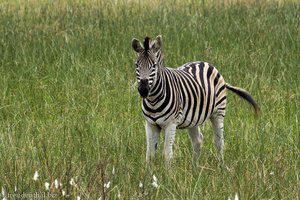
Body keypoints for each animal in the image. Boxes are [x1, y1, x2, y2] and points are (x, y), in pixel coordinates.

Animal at [131, 35, 260, 165]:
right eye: (137, 65)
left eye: (154, 65)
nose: (143, 90)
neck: (153, 101)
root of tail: (205, 63)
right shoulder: (150, 124)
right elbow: (150, 155)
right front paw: (149, 171)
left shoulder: (171, 123)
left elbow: (167, 154)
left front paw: (168, 171)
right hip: (193, 118)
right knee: (198, 140)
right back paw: (195, 168)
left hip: (218, 112)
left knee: (219, 142)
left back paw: (221, 167)